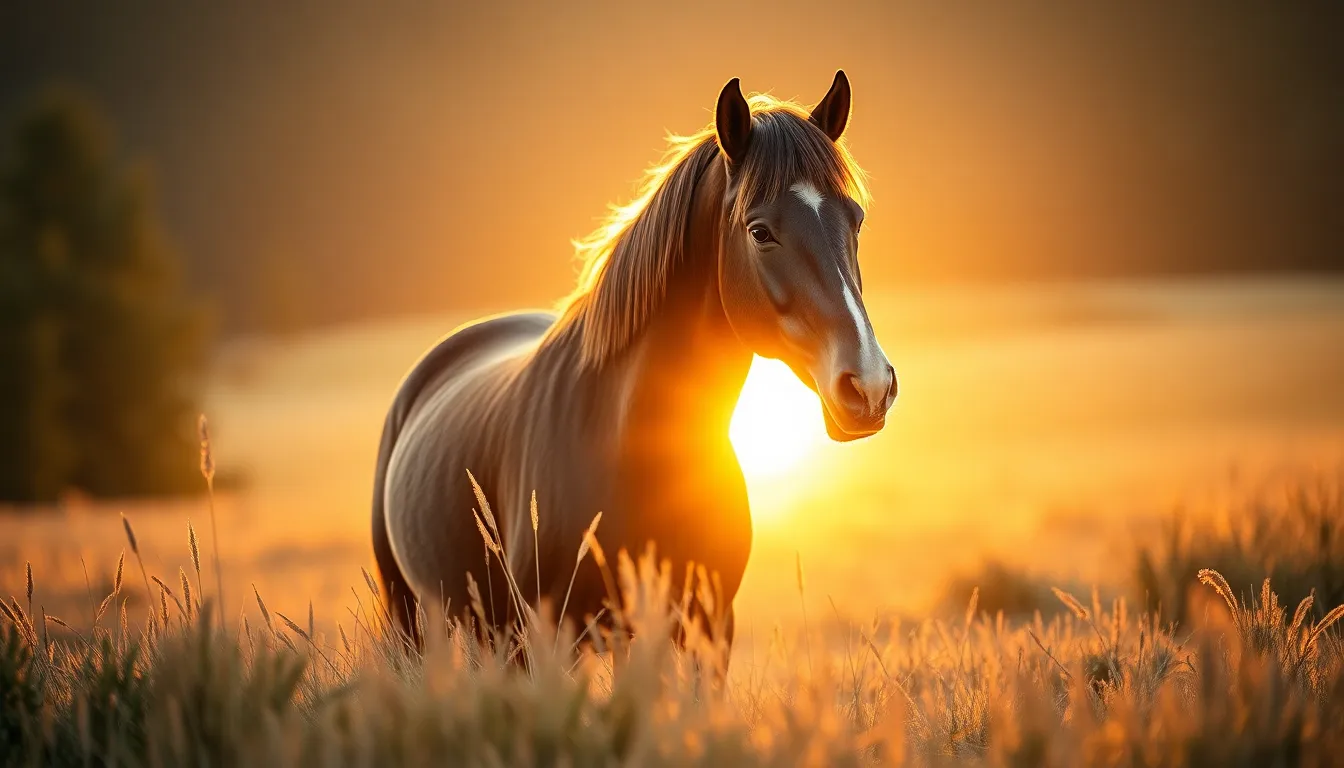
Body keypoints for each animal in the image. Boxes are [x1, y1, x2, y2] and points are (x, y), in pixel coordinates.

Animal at [371, 71, 896, 660]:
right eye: (760, 231)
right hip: (418, 618)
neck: (629, 443)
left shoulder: (704, 631)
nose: (869, 387)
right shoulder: (547, 636)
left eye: (856, 220)